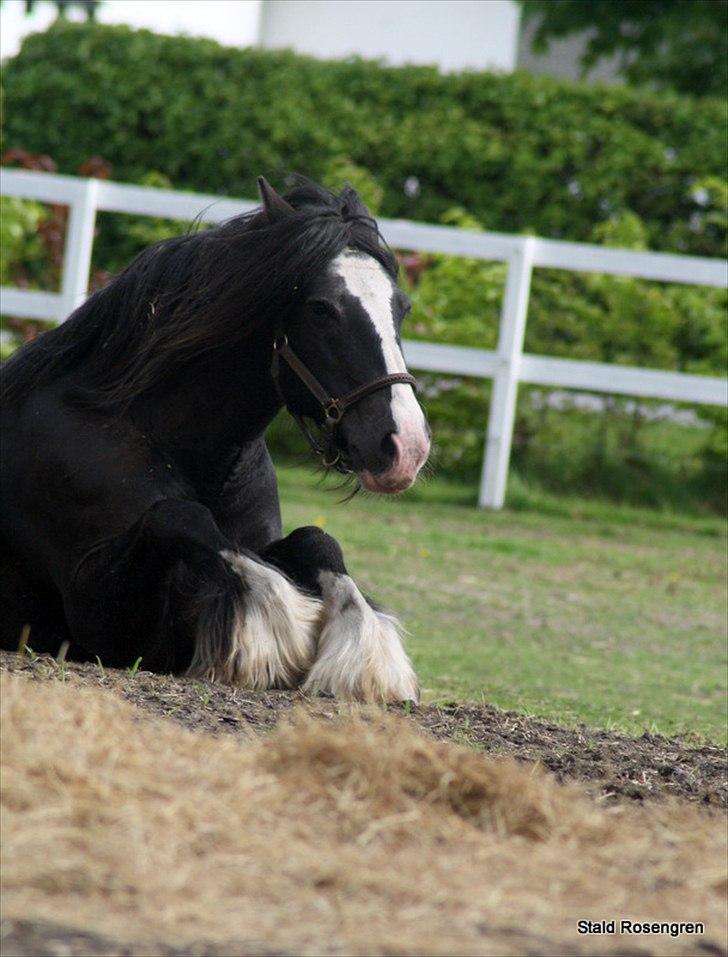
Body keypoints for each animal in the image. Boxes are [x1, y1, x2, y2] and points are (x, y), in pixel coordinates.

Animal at [0, 177, 430, 704]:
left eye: (402, 308)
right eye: (321, 309)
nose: (406, 447)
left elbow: (316, 540)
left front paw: (364, 656)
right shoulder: (99, 619)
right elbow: (183, 517)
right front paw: (284, 627)